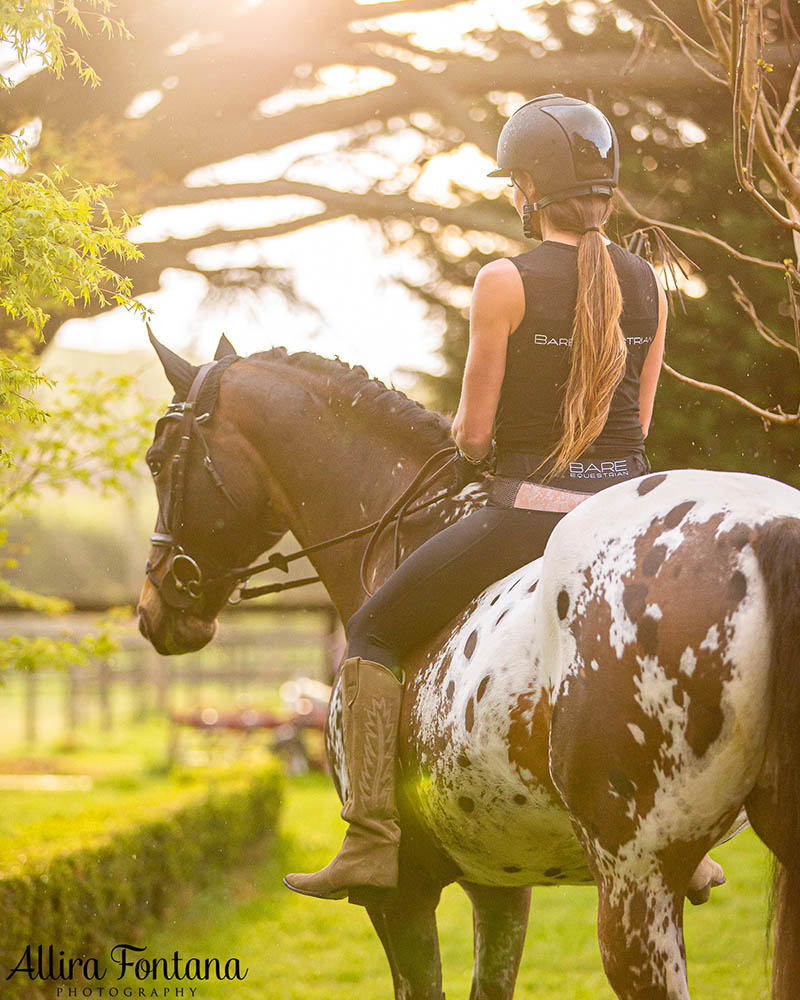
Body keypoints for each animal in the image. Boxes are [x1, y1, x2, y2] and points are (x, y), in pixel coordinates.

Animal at [136, 336, 800, 1000]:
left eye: (158, 461)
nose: (152, 609)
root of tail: (766, 532)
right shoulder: (500, 883)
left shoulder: (399, 894)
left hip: (636, 880)